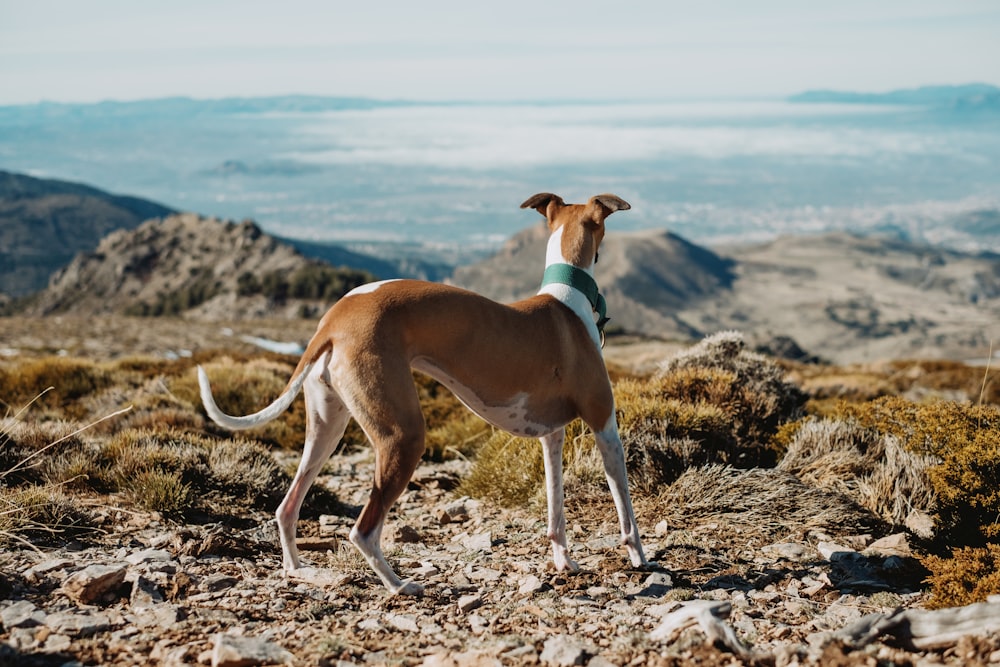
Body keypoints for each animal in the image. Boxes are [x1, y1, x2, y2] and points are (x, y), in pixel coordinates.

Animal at [200, 193, 652, 596]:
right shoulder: (604, 424)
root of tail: (333, 320)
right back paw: (400, 585)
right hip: (403, 435)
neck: (566, 298)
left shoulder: (550, 437)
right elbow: (626, 509)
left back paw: (297, 569)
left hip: (326, 428)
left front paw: (564, 562)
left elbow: (556, 512)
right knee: (363, 530)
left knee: (287, 506)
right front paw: (640, 559)